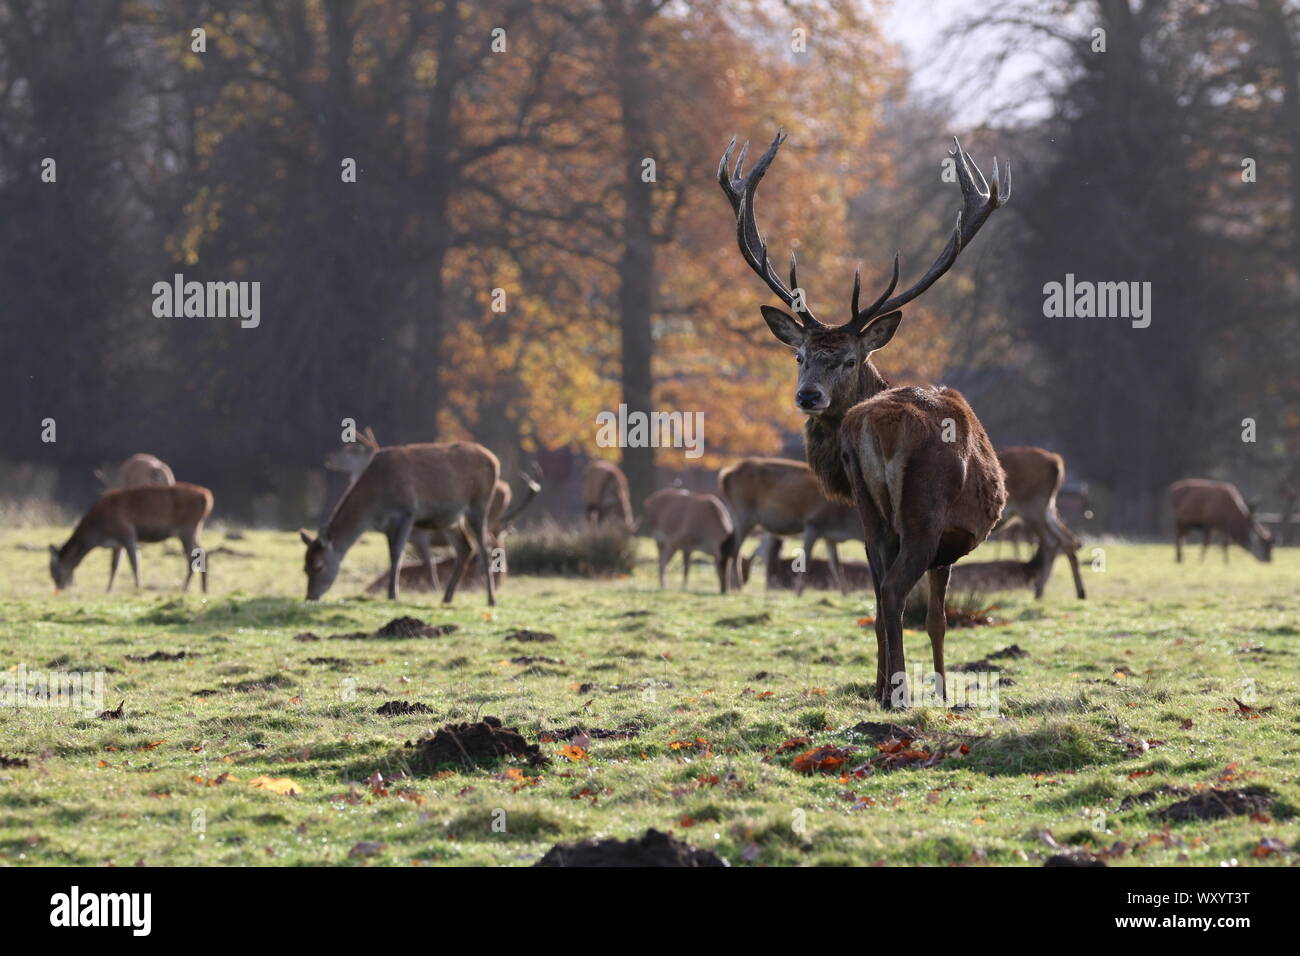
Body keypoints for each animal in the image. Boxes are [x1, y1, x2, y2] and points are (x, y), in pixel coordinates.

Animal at [50, 486, 213, 590]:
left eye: (53, 571)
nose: (60, 587)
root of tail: (208, 497)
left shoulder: (126, 533)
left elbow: (134, 562)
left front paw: (138, 587)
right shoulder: (117, 543)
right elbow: (114, 566)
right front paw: (108, 589)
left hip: (187, 528)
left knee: (193, 557)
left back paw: (185, 588)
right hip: (196, 529)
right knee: (203, 552)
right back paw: (204, 589)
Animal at [301, 442, 499, 606]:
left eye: (319, 566)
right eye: (305, 568)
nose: (311, 596)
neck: (373, 508)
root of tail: (494, 459)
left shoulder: (407, 512)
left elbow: (398, 553)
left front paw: (393, 595)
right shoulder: (386, 527)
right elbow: (391, 554)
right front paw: (392, 592)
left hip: (479, 503)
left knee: (485, 547)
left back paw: (491, 599)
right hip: (450, 519)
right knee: (465, 547)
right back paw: (447, 597)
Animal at [722, 460, 863, 595]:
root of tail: (725, 476)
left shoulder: (829, 536)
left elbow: (836, 565)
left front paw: (845, 594)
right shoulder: (813, 524)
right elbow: (806, 559)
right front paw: (798, 592)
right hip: (743, 514)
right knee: (734, 549)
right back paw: (736, 587)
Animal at [993, 447, 1086, 598]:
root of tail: (1057, 462)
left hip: (1032, 506)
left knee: (1051, 541)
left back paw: (1039, 591)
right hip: (1048, 507)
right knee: (1067, 539)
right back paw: (1080, 592)